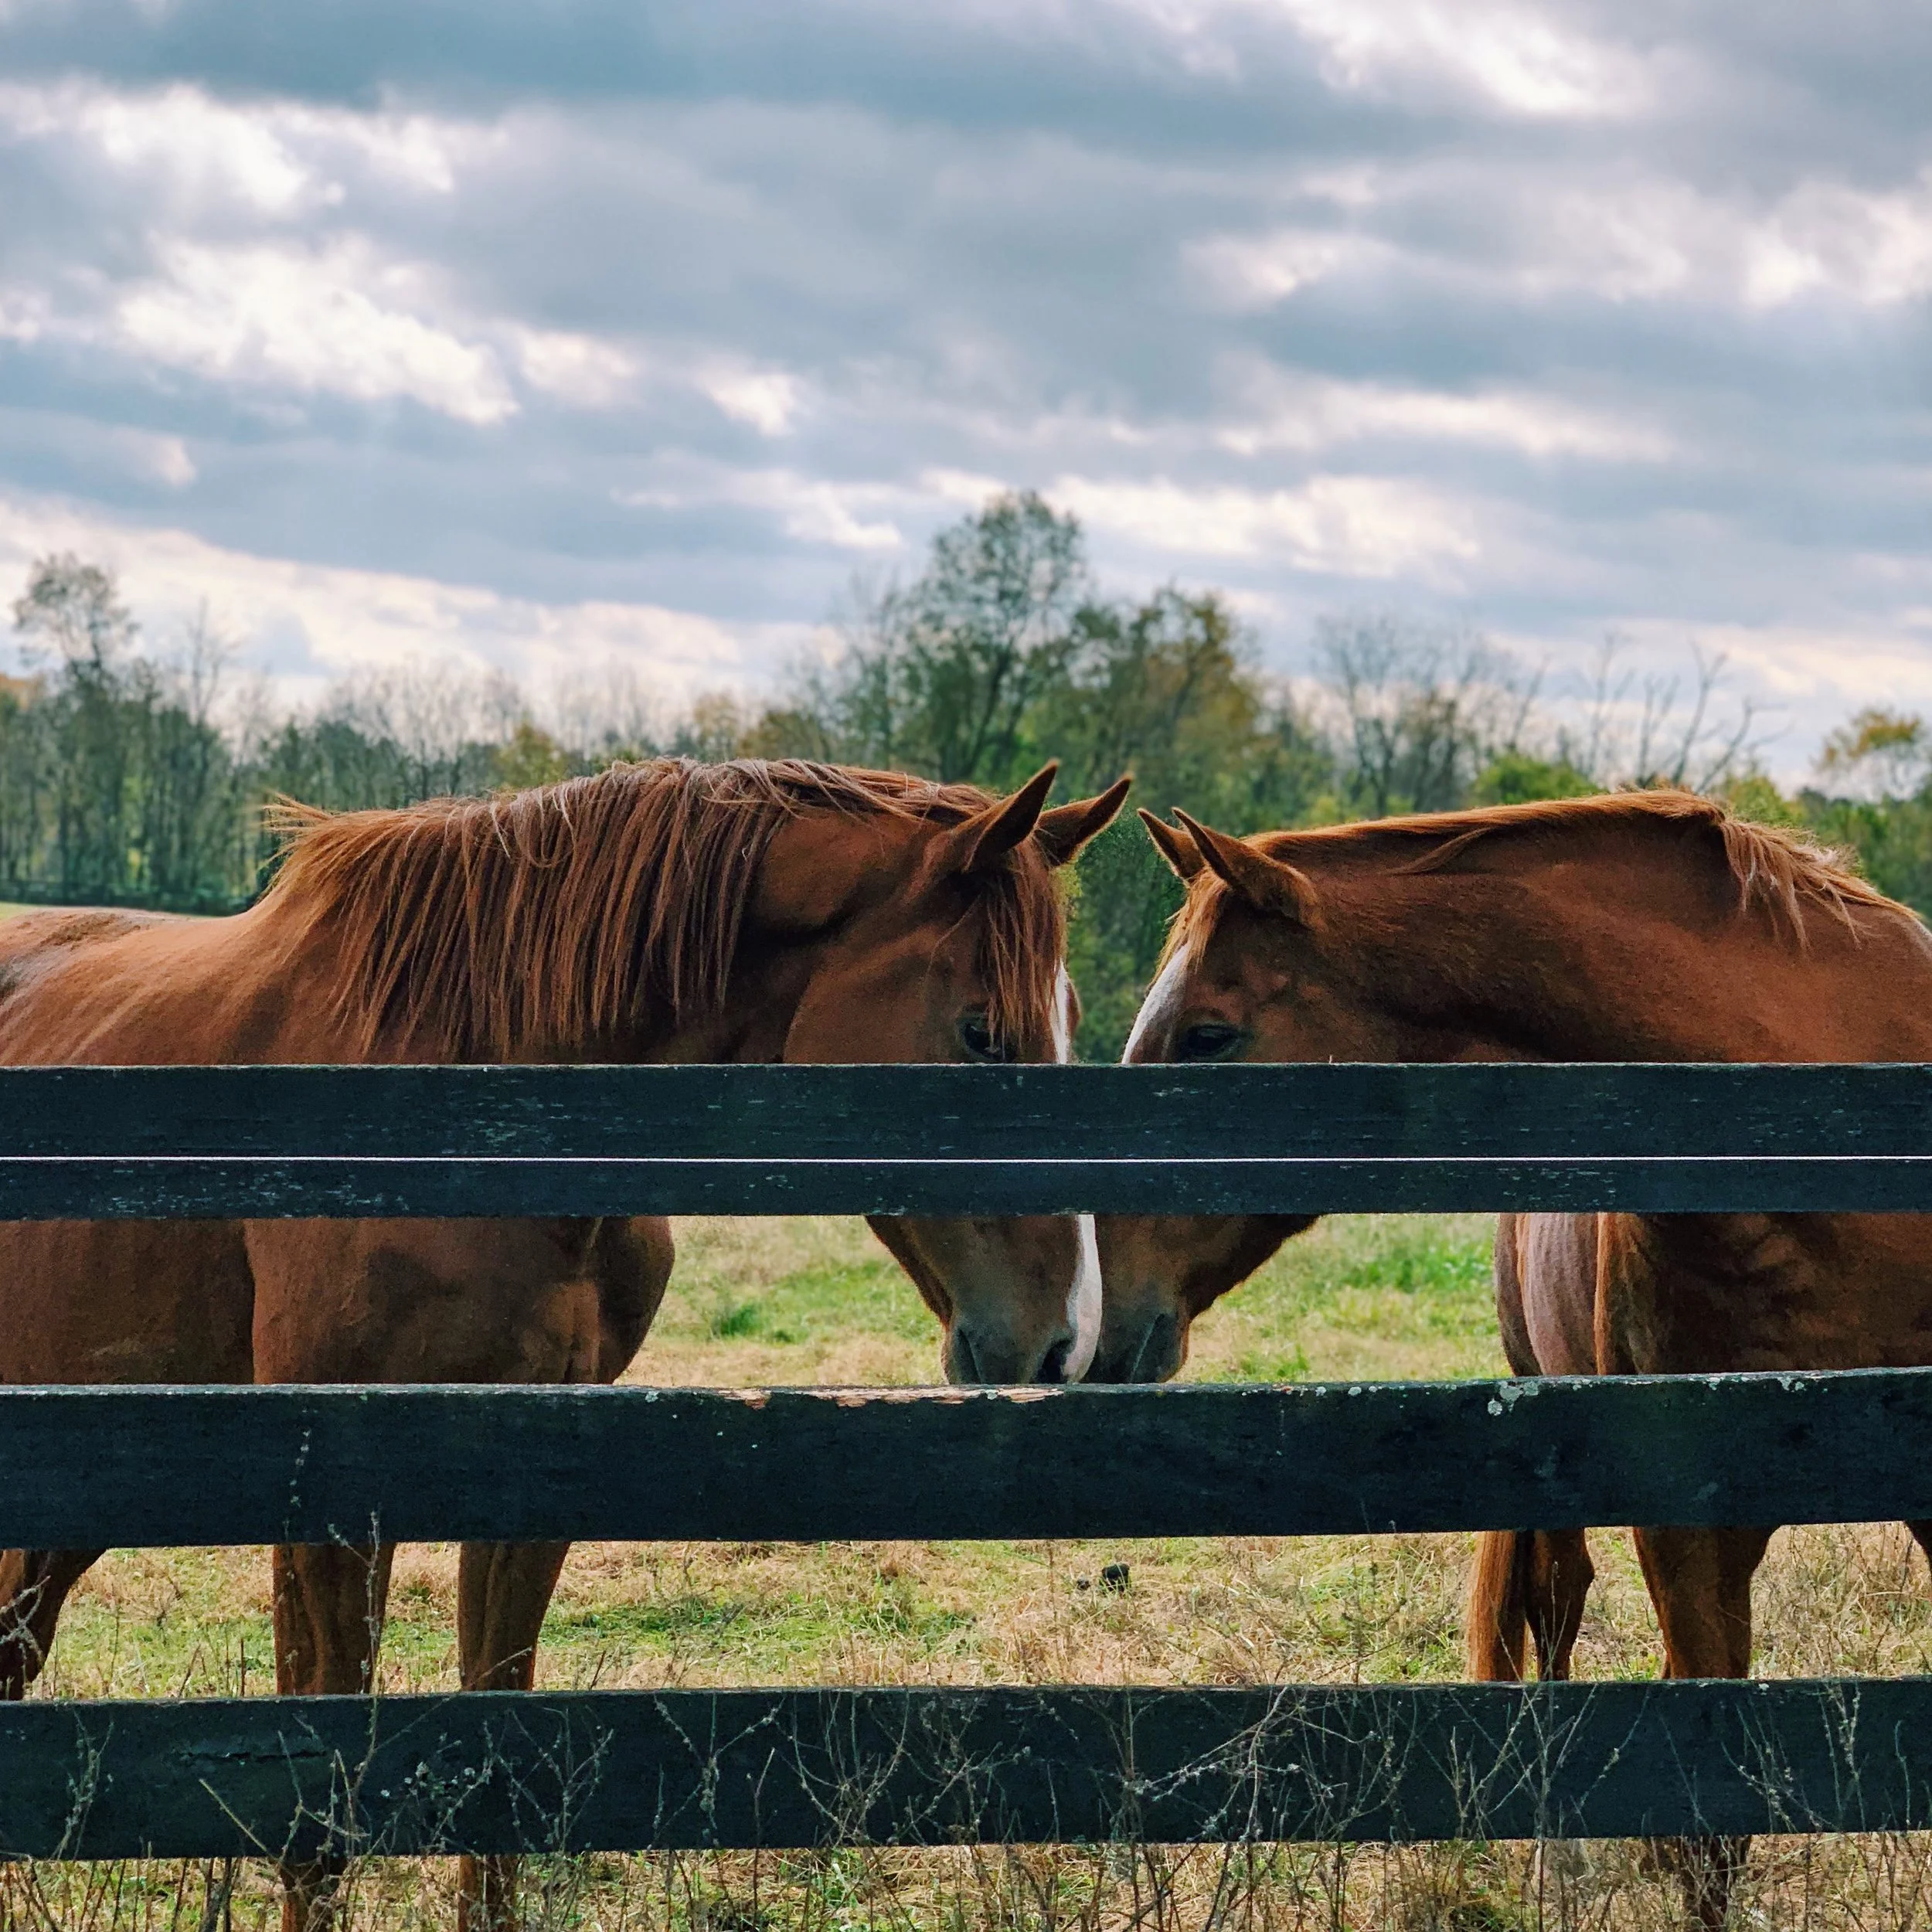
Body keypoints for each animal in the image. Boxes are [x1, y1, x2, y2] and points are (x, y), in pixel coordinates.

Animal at [0, 753, 1127, 1931]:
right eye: (980, 1033)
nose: (1063, 1343)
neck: (481, 1110)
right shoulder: (330, 1500)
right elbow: (321, 1792)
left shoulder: (531, 1481)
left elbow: (502, 1769)